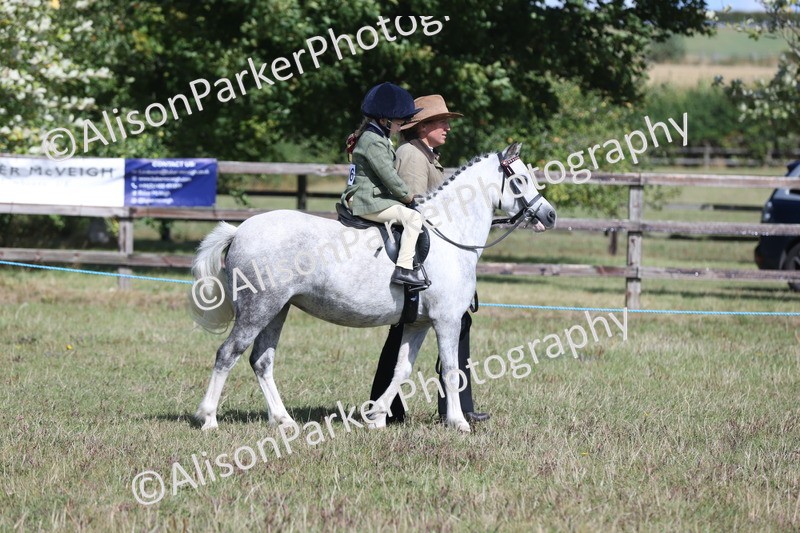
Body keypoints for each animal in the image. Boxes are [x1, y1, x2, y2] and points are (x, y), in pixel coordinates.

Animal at [189, 143, 557, 433]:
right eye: (520, 179)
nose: (550, 216)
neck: (450, 233)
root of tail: (239, 230)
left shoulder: (418, 323)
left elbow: (401, 368)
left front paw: (377, 416)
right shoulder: (447, 320)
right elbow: (452, 371)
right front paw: (458, 422)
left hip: (277, 310)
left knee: (262, 361)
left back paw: (284, 421)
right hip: (258, 309)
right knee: (228, 354)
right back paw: (208, 419)